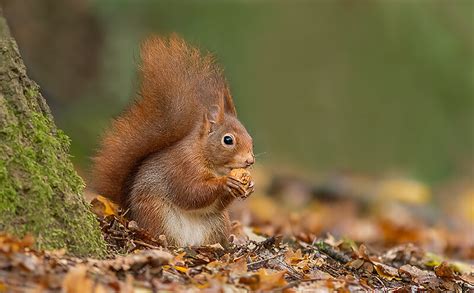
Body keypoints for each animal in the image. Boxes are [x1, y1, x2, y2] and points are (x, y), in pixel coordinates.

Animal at [93, 35, 256, 245]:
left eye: (250, 137)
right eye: (228, 140)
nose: (250, 160)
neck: (205, 155)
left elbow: (214, 203)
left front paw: (248, 185)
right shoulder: (182, 167)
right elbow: (190, 192)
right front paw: (226, 182)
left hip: (218, 222)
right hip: (156, 212)